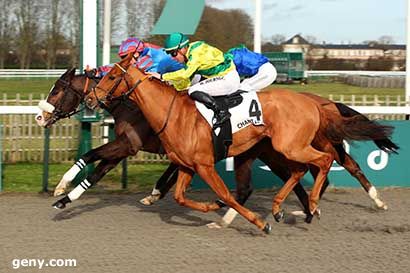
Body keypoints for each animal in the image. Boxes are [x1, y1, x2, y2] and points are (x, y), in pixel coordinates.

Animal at [84, 54, 394, 232]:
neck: (174, 113)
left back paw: (314, 205)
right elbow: (181, 196)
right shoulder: (186, 166)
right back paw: (283, 208)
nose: (90, 99)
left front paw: (254, 221)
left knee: (325, 162)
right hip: (280, 149)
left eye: (113, 76)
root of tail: (314, 103)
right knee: (300, 170)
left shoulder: (205, 165)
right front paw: (211, 208)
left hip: (290, 146)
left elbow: (227, 193)